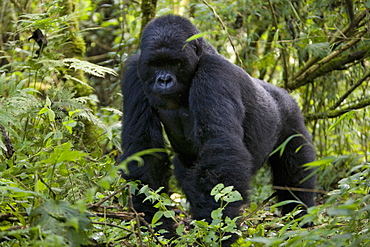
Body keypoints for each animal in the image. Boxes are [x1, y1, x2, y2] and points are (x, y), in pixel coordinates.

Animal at [118, 14, 316, 244]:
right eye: (155, 64)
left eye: (174, 63)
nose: (164, 80)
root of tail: (282, 93)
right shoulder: (134, 74)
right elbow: (144, 150)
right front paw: (158, 226)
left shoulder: (214, 73)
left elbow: (221, 149)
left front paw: (215, 233)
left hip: (291, 117)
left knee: (295, 174)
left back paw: (300, 218)